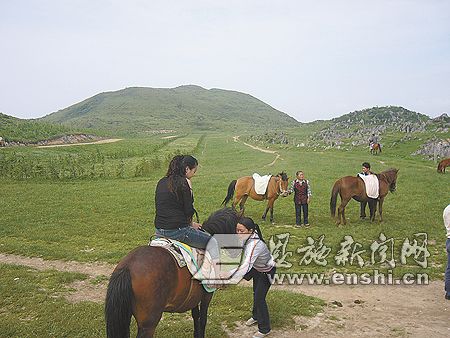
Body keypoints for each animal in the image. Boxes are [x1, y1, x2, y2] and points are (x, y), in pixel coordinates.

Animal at [105, 207, 239, 336]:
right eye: (236, 229)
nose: (236, 252)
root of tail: (128, 266)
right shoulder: (207, 295)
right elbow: (203, 320)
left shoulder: (194, 297)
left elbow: (196, 316)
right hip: (148, 323)